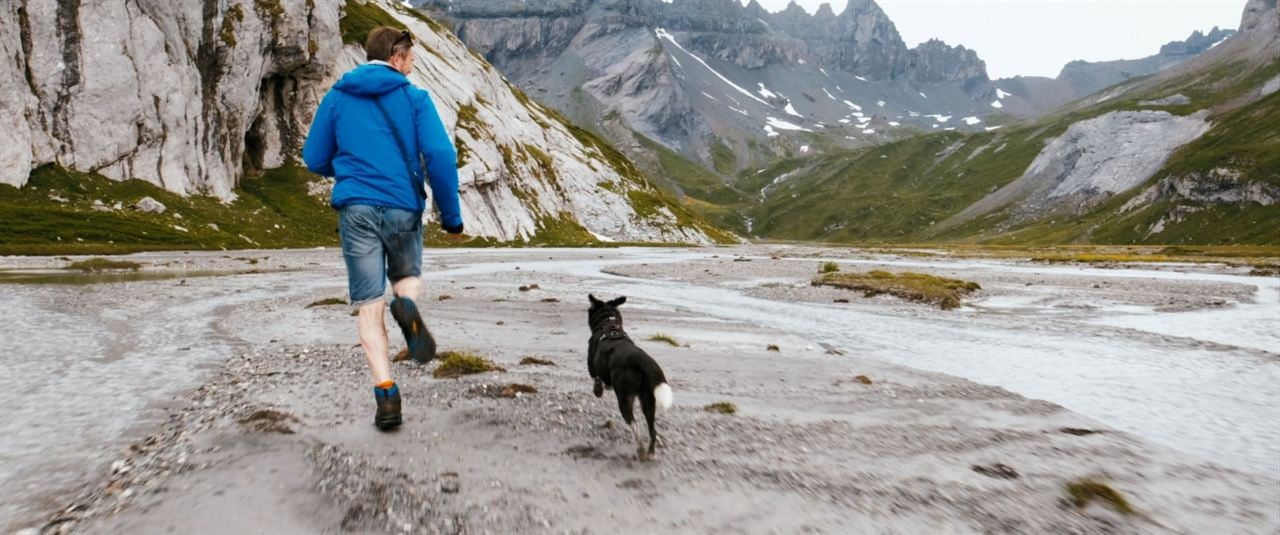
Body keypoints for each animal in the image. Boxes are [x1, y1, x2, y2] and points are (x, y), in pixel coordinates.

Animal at [586, 293, 675, 460]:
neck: (609, 323)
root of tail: (642, 360)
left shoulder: (593, 370)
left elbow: (597, 381)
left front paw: (599, 390)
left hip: (623, 398)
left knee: (635, 425)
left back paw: (640, 449)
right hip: (648, 401)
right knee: (652, 430)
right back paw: (650, 453)